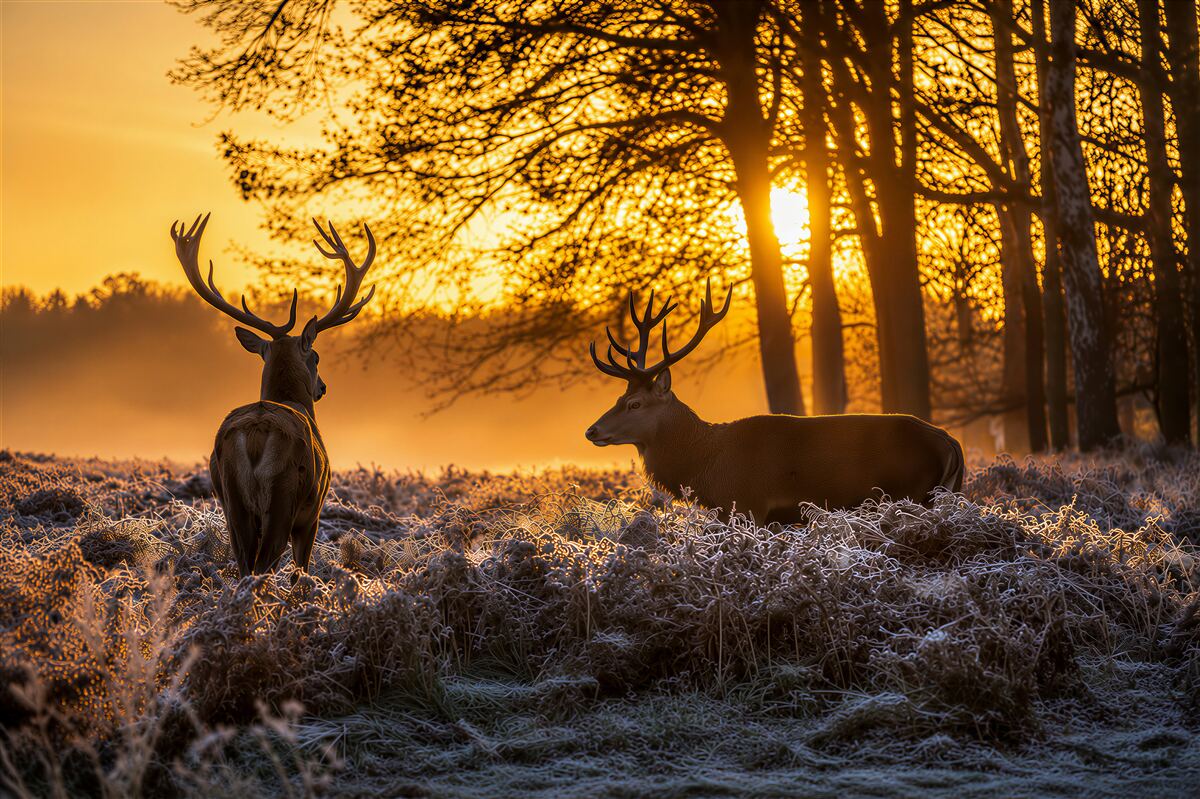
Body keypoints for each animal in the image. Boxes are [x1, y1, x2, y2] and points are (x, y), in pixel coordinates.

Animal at [171, 213, 377, 577]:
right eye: (316, 357)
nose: (322, 388)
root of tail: (255, 433)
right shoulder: (314, 511)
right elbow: (301, 569)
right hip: (284, 493)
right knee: (264, 563)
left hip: (231, 499)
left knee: (243, 562)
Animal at [585, 281, 965, 525]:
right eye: (620, 397)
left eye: (635, 403)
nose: (592, 430)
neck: (707, 465)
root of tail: (950, 443)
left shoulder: (747, 503)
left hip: (911, 492)